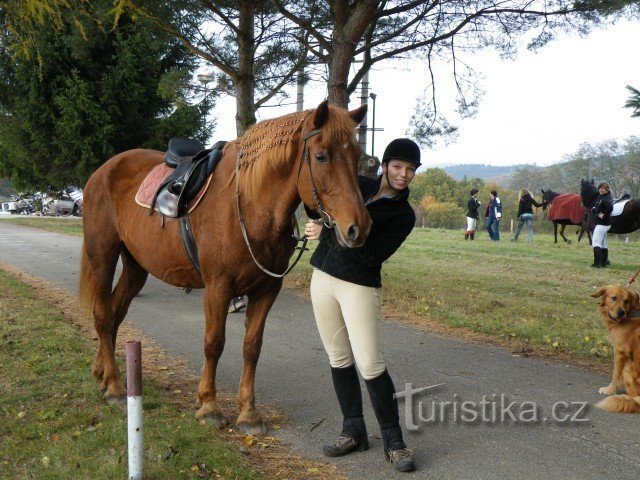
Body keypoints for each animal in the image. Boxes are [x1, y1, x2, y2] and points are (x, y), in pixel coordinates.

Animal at [79, 99, 376, 434]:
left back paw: (103, 373)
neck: (249, 206)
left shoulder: (266, 290)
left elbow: (252, 347)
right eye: (321, 156)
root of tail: (102, 170)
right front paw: (209, 405)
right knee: (103, 316)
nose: (359, 228)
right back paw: (116, 387)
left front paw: (248, 412)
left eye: (356, 156)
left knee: (115, 313)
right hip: (103, 258)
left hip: (135, 267)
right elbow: (214, 343)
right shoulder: (218, 288)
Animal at [592, 284, 640, 412]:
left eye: (626, 301)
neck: (629, 316)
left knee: (635, 396)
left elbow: (615, 374)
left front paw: (609, 390)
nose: (621, 312)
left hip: (628, 368)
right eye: (614, 298)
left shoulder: (620, 353)